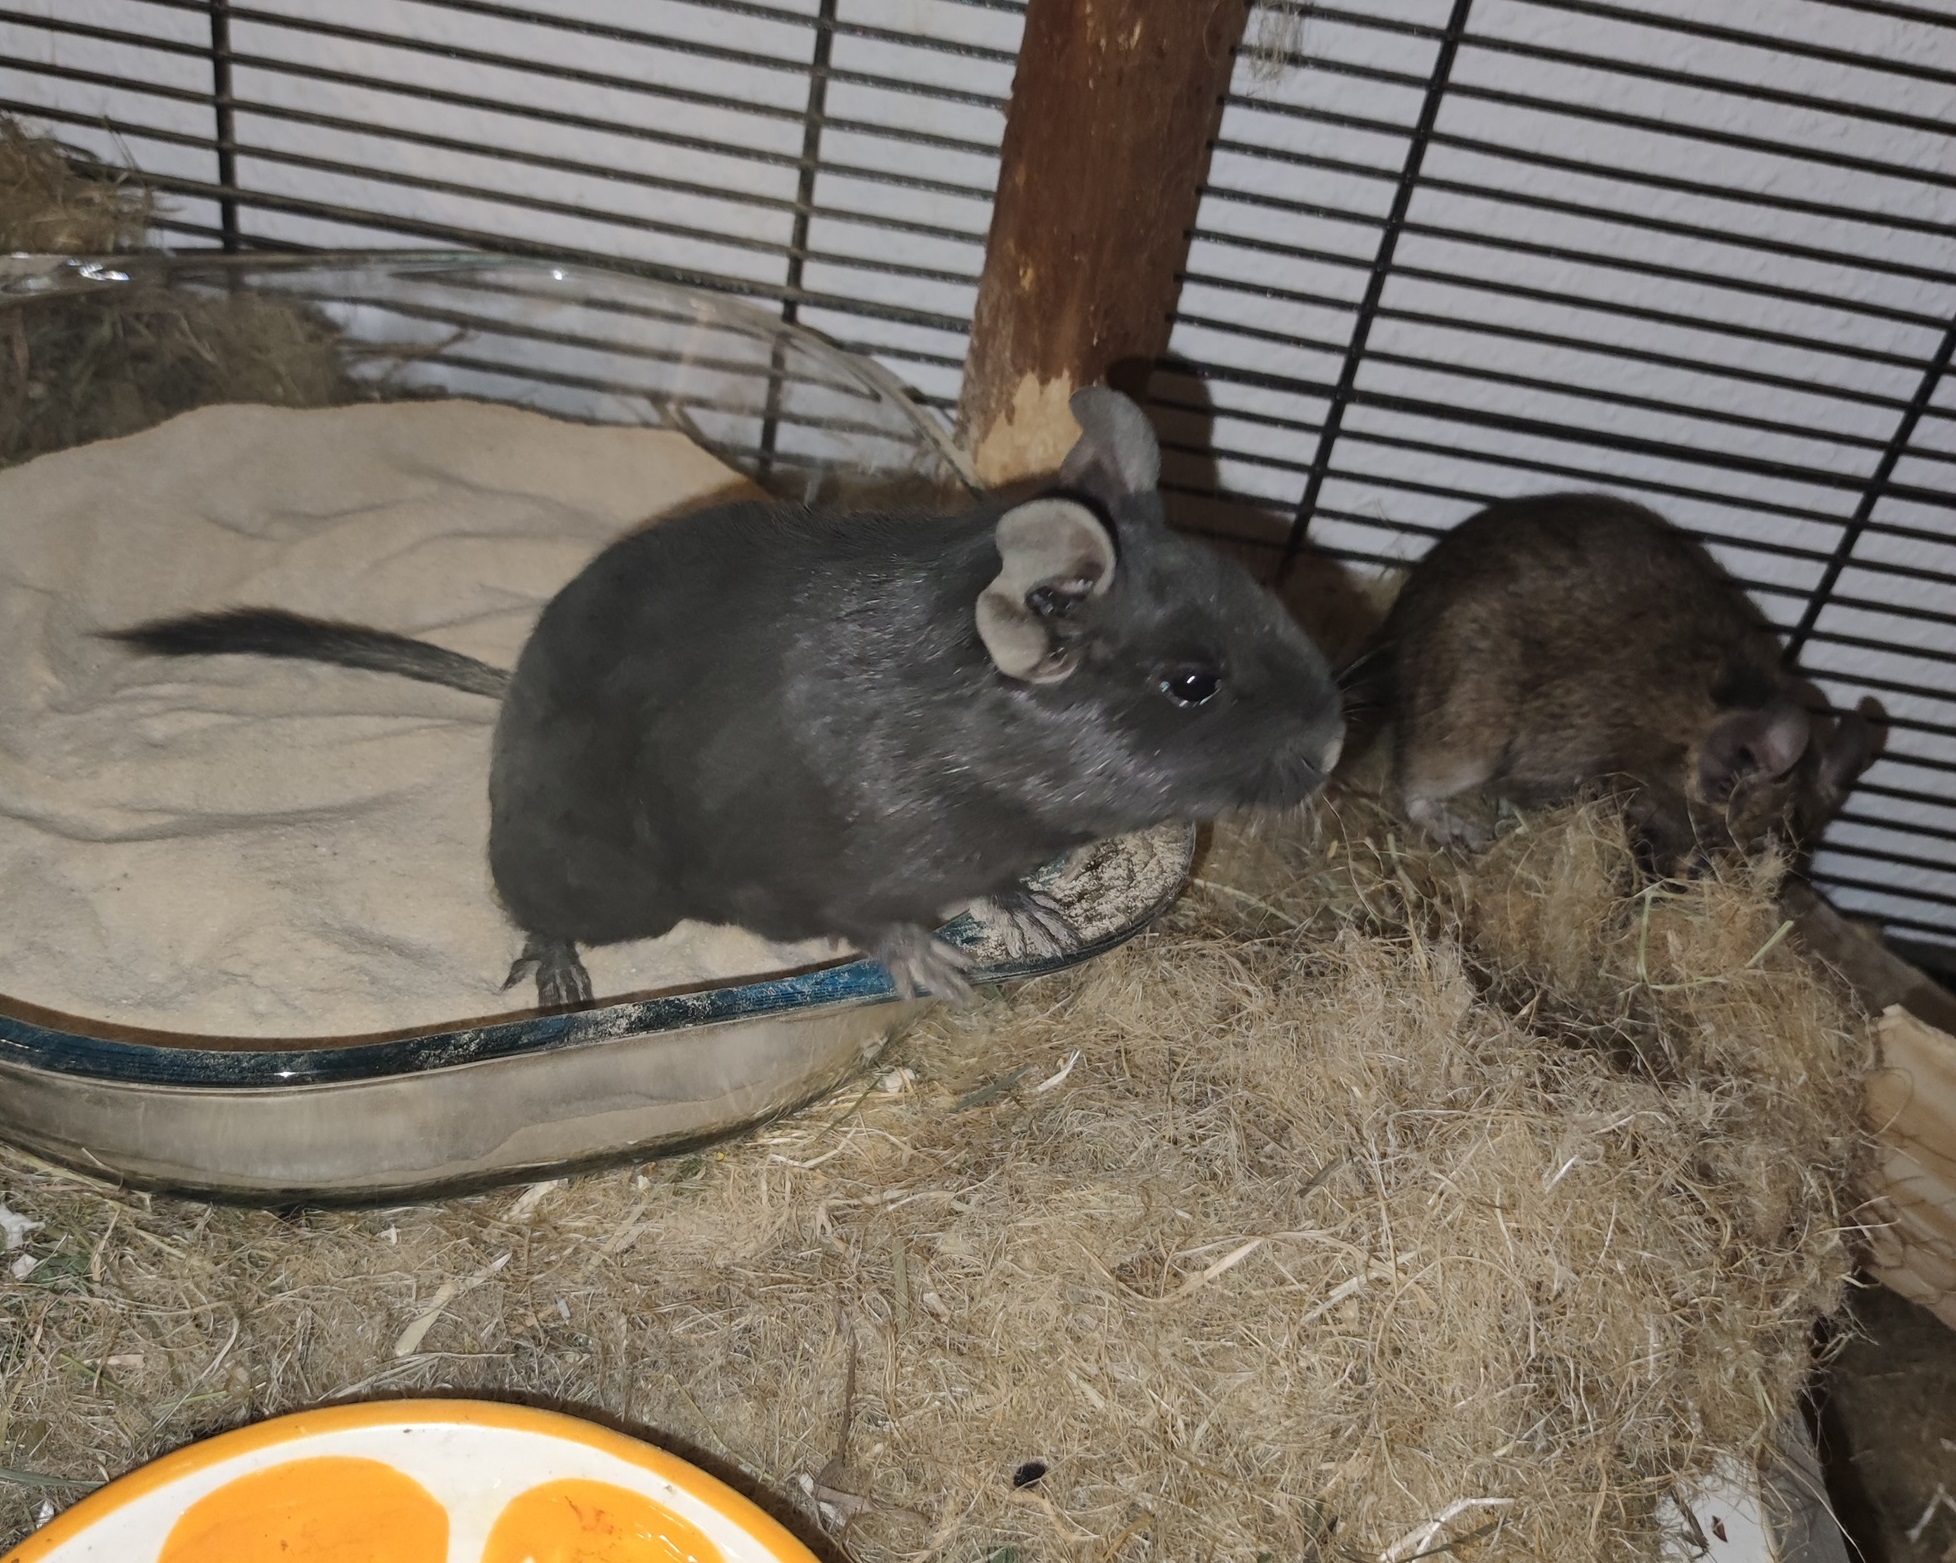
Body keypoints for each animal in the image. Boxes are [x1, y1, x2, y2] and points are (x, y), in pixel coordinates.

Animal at [114, 388, 1347, 1008]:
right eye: (1192, 684)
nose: (1336, 748)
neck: (979, 760)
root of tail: (507, 701)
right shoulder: (828, 871)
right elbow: (880, 924)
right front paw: (938, 972)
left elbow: (1000, 883)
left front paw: (1032, 912)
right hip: (597, 874)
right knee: (533, 902)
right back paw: (559, 977)